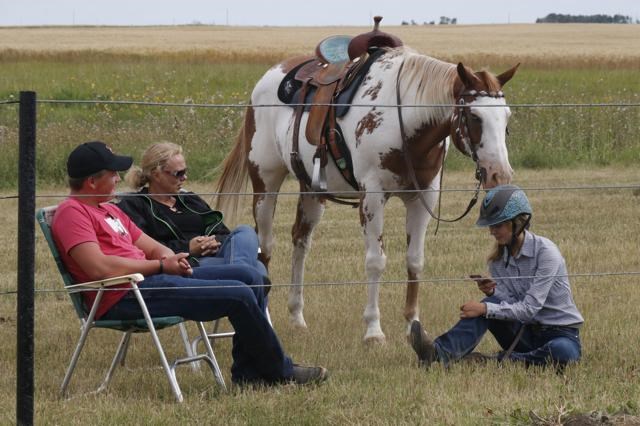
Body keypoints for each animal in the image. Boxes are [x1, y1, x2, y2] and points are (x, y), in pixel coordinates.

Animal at [218, 45, 516, 342]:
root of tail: (270, 76)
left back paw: (297, 316)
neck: (403, 120)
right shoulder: (372, 197)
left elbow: (415, 260)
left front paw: (413, 325)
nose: (500, 175)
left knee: (300, 242)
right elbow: (376, 261)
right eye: (475, 117)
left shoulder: (423, 198)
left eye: (507, 118)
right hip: (265, 182)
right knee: (265, 245)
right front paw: (373, 329)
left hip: (311, 190)